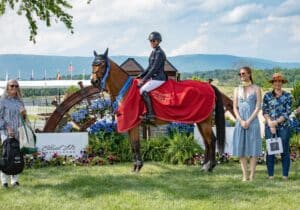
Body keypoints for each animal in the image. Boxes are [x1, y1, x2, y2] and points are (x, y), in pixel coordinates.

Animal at [91, 48, 225, 172]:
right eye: (93, 64)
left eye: (102, 64)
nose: (94, 81)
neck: (125, 90)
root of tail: (209, 86)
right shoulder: (130, 125)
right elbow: (132, 145)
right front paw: (135, 167)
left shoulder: (133, 124)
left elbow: (136, 144)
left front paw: (138, 167)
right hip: (201, 120)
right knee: (207, 141)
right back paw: (204, 166)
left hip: (204, 122)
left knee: (211, 140)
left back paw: (209, 166)